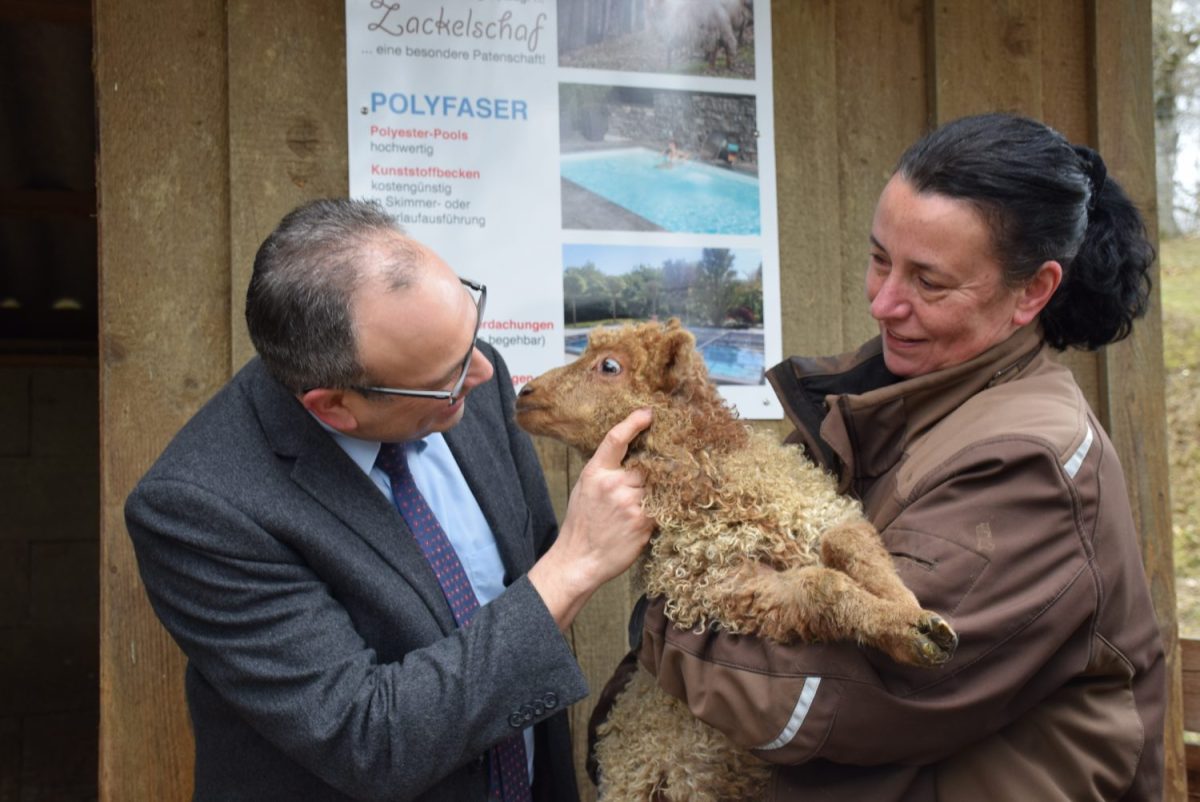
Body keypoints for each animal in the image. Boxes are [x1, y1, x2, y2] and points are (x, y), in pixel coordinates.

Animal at [513, 319, 955, 802]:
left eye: (609, 366)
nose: (525, 393)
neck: (719, 479)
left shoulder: (819, 512)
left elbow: (850, 544)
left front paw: (912, 614)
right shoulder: (724, 584)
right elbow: (822, 586)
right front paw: (902, 627)